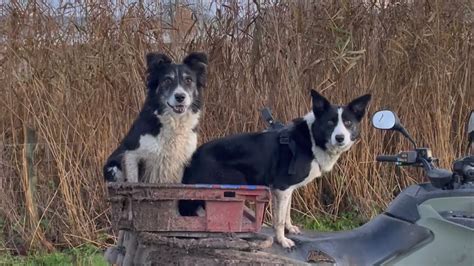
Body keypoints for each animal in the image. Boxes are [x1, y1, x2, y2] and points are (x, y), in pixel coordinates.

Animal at [103, 52, 207, 185]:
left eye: (188, 80)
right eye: (167, 80)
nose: (180, 97)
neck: (174, 121)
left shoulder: (180, 162)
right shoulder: (131, 154)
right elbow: (133, 180)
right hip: (113, 167)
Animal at [180, 89, 372, 247]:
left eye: (348, 123)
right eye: (330, 123)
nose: (340, 138)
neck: (311, 139)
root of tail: (192, 159)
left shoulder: (286, 189)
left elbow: (285, 213)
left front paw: (290, 228)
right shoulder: (282, 187)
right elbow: (278, 219)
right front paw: (282, 240)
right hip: (234, 179)